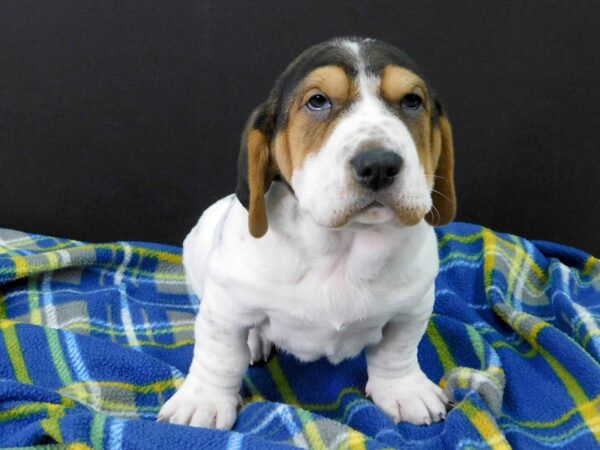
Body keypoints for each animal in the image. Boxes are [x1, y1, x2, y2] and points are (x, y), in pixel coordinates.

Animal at [158, 35, 454, 428]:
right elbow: (218, 357)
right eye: (317, 101)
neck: (342, 245)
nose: (378, 165)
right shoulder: (223, 307)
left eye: (412, 101)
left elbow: (398, 351)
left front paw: (404, 390)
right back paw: (254, 341)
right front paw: (203, 401)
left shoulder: (413, 307)